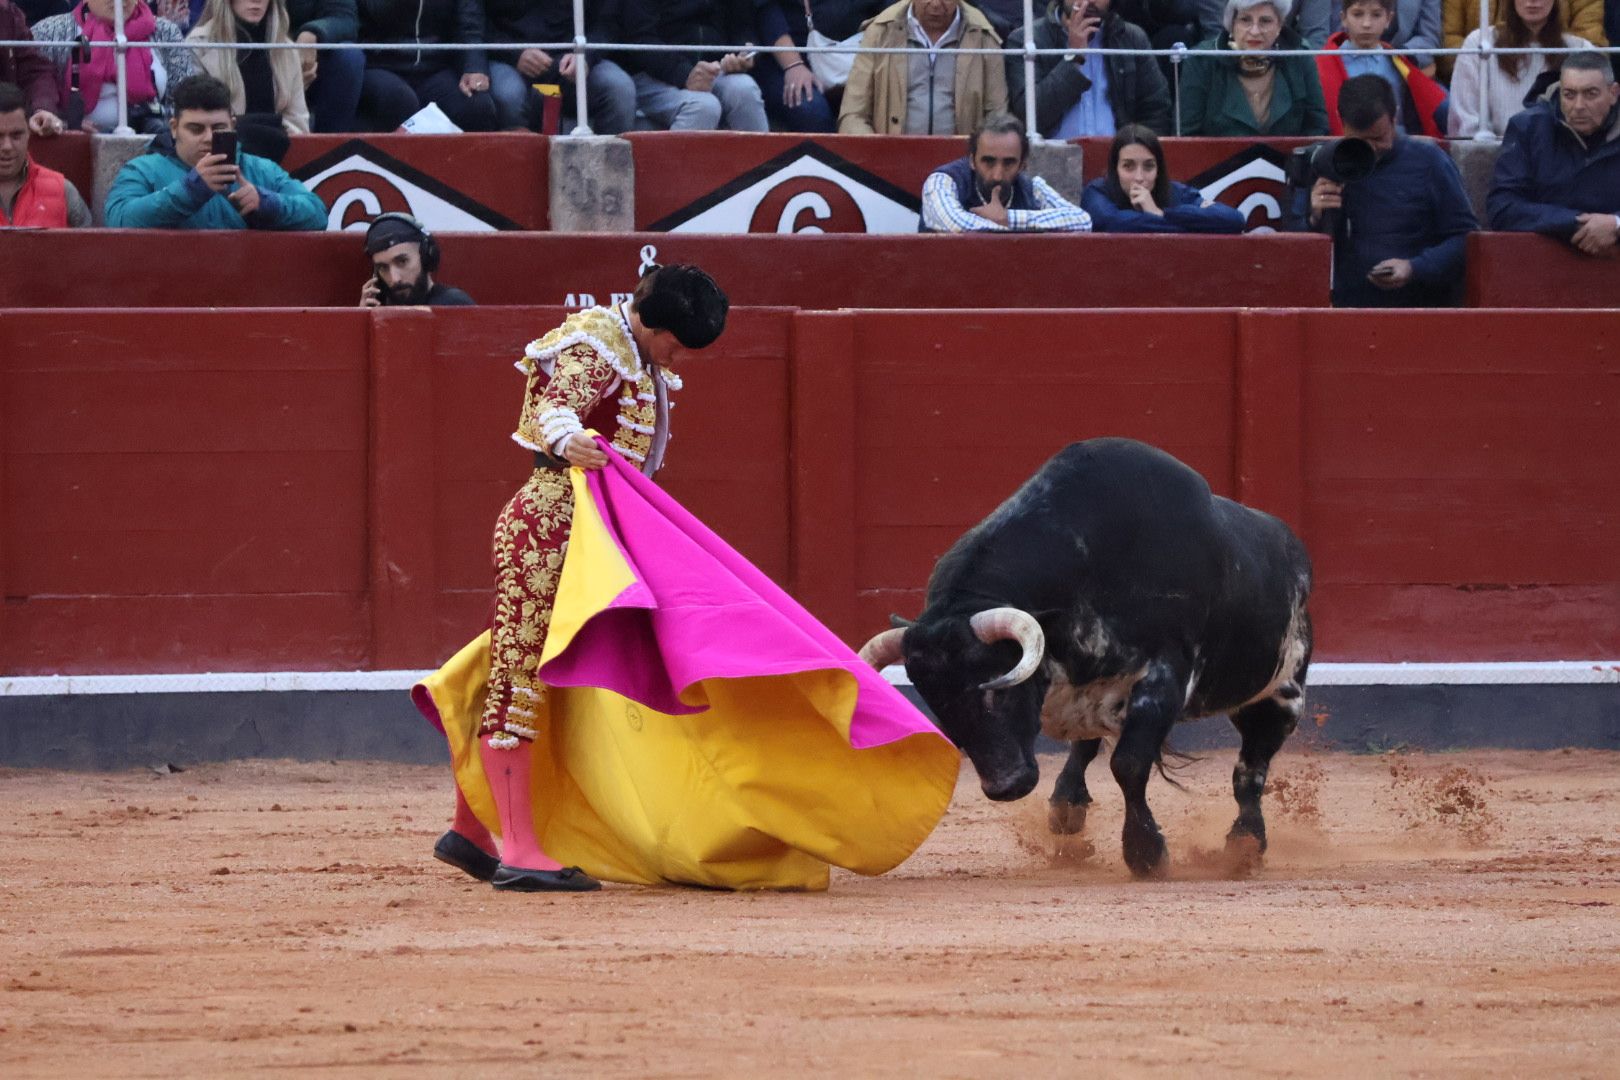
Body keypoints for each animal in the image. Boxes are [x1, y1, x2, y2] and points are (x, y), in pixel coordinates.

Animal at [868, 440, 1308, 880]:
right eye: (939, 706)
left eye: (1001, 691)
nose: (1007, 786)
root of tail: (1292, 548)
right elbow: (1096, 751)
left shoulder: (1163, 678)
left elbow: (1129, 763)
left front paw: (1146, 854)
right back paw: (1067, 807)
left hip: (1281, 696)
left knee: (1250, 770)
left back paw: (1245, 845)